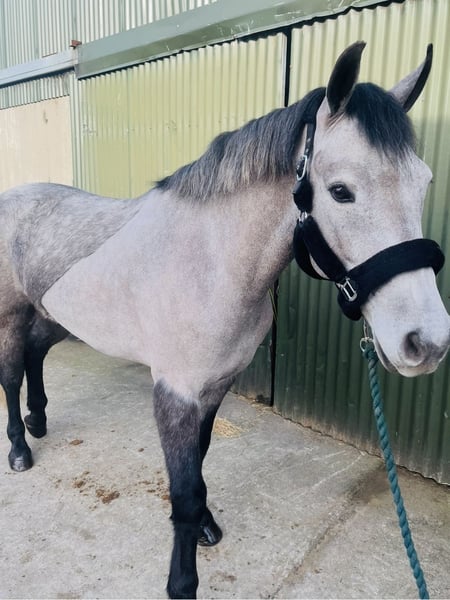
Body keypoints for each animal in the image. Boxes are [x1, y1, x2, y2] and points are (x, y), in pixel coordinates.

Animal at [0, 41, 449, 598]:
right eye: (341, 191)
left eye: (423, 182)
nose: (426, 342)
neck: (211, 262)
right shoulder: (175, 393)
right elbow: (184, 490)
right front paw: (182, 581)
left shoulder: (216, 386)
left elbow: (200, 461)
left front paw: (207, 526)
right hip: (12, 314)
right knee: (11, 373)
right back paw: (20, 449)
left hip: (53, 314)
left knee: (36, 355)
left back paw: (39, 421)